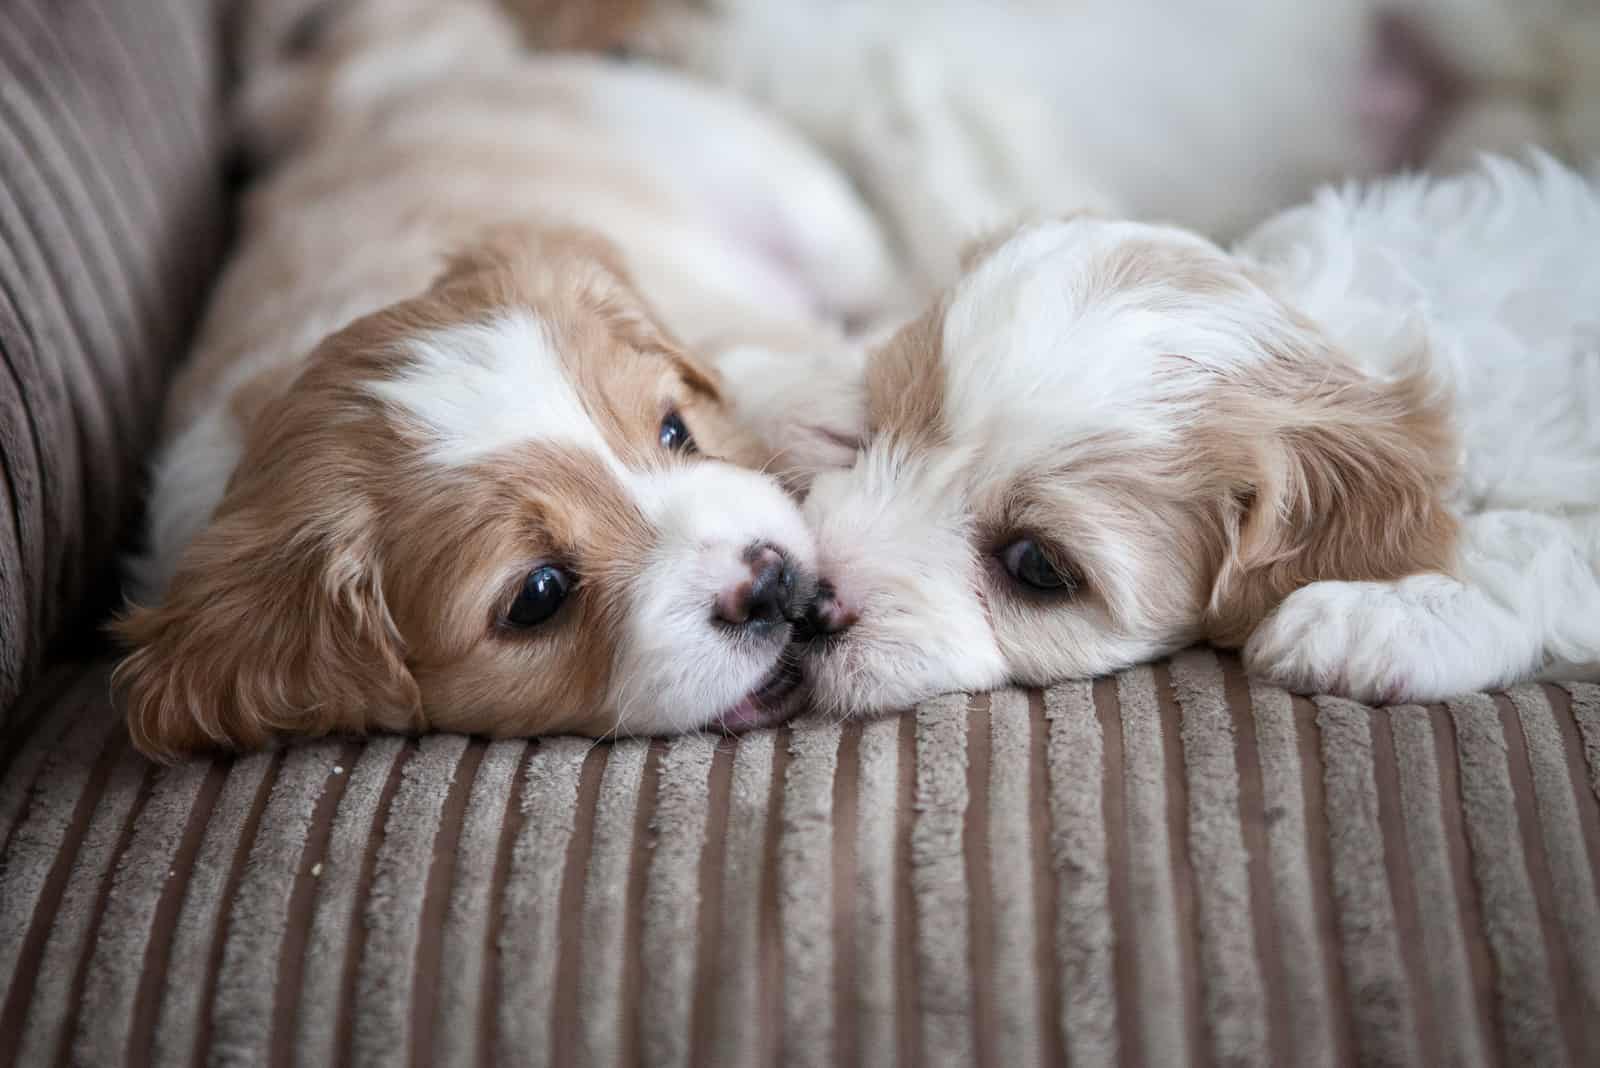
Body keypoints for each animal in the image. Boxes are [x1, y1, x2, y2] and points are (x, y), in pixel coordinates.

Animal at [116, 0, 902, 757]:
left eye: (675, 431)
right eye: (538, 594)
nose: (769, 582)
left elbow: (740, 348)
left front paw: (828, 411)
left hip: (803, 211)